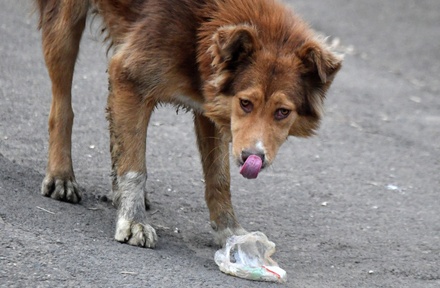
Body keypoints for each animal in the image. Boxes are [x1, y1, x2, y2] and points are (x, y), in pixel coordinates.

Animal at [36, 0, 342, 248]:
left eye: (282, 112)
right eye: (245, 103)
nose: (252, 158)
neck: (203, 22)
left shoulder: (212, 107)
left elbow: (219, 178)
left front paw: (229, 231)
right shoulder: (129, 75)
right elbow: (135, 168)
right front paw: (133, 221)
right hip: (64, 25)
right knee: (62, 108)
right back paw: (62, 176)